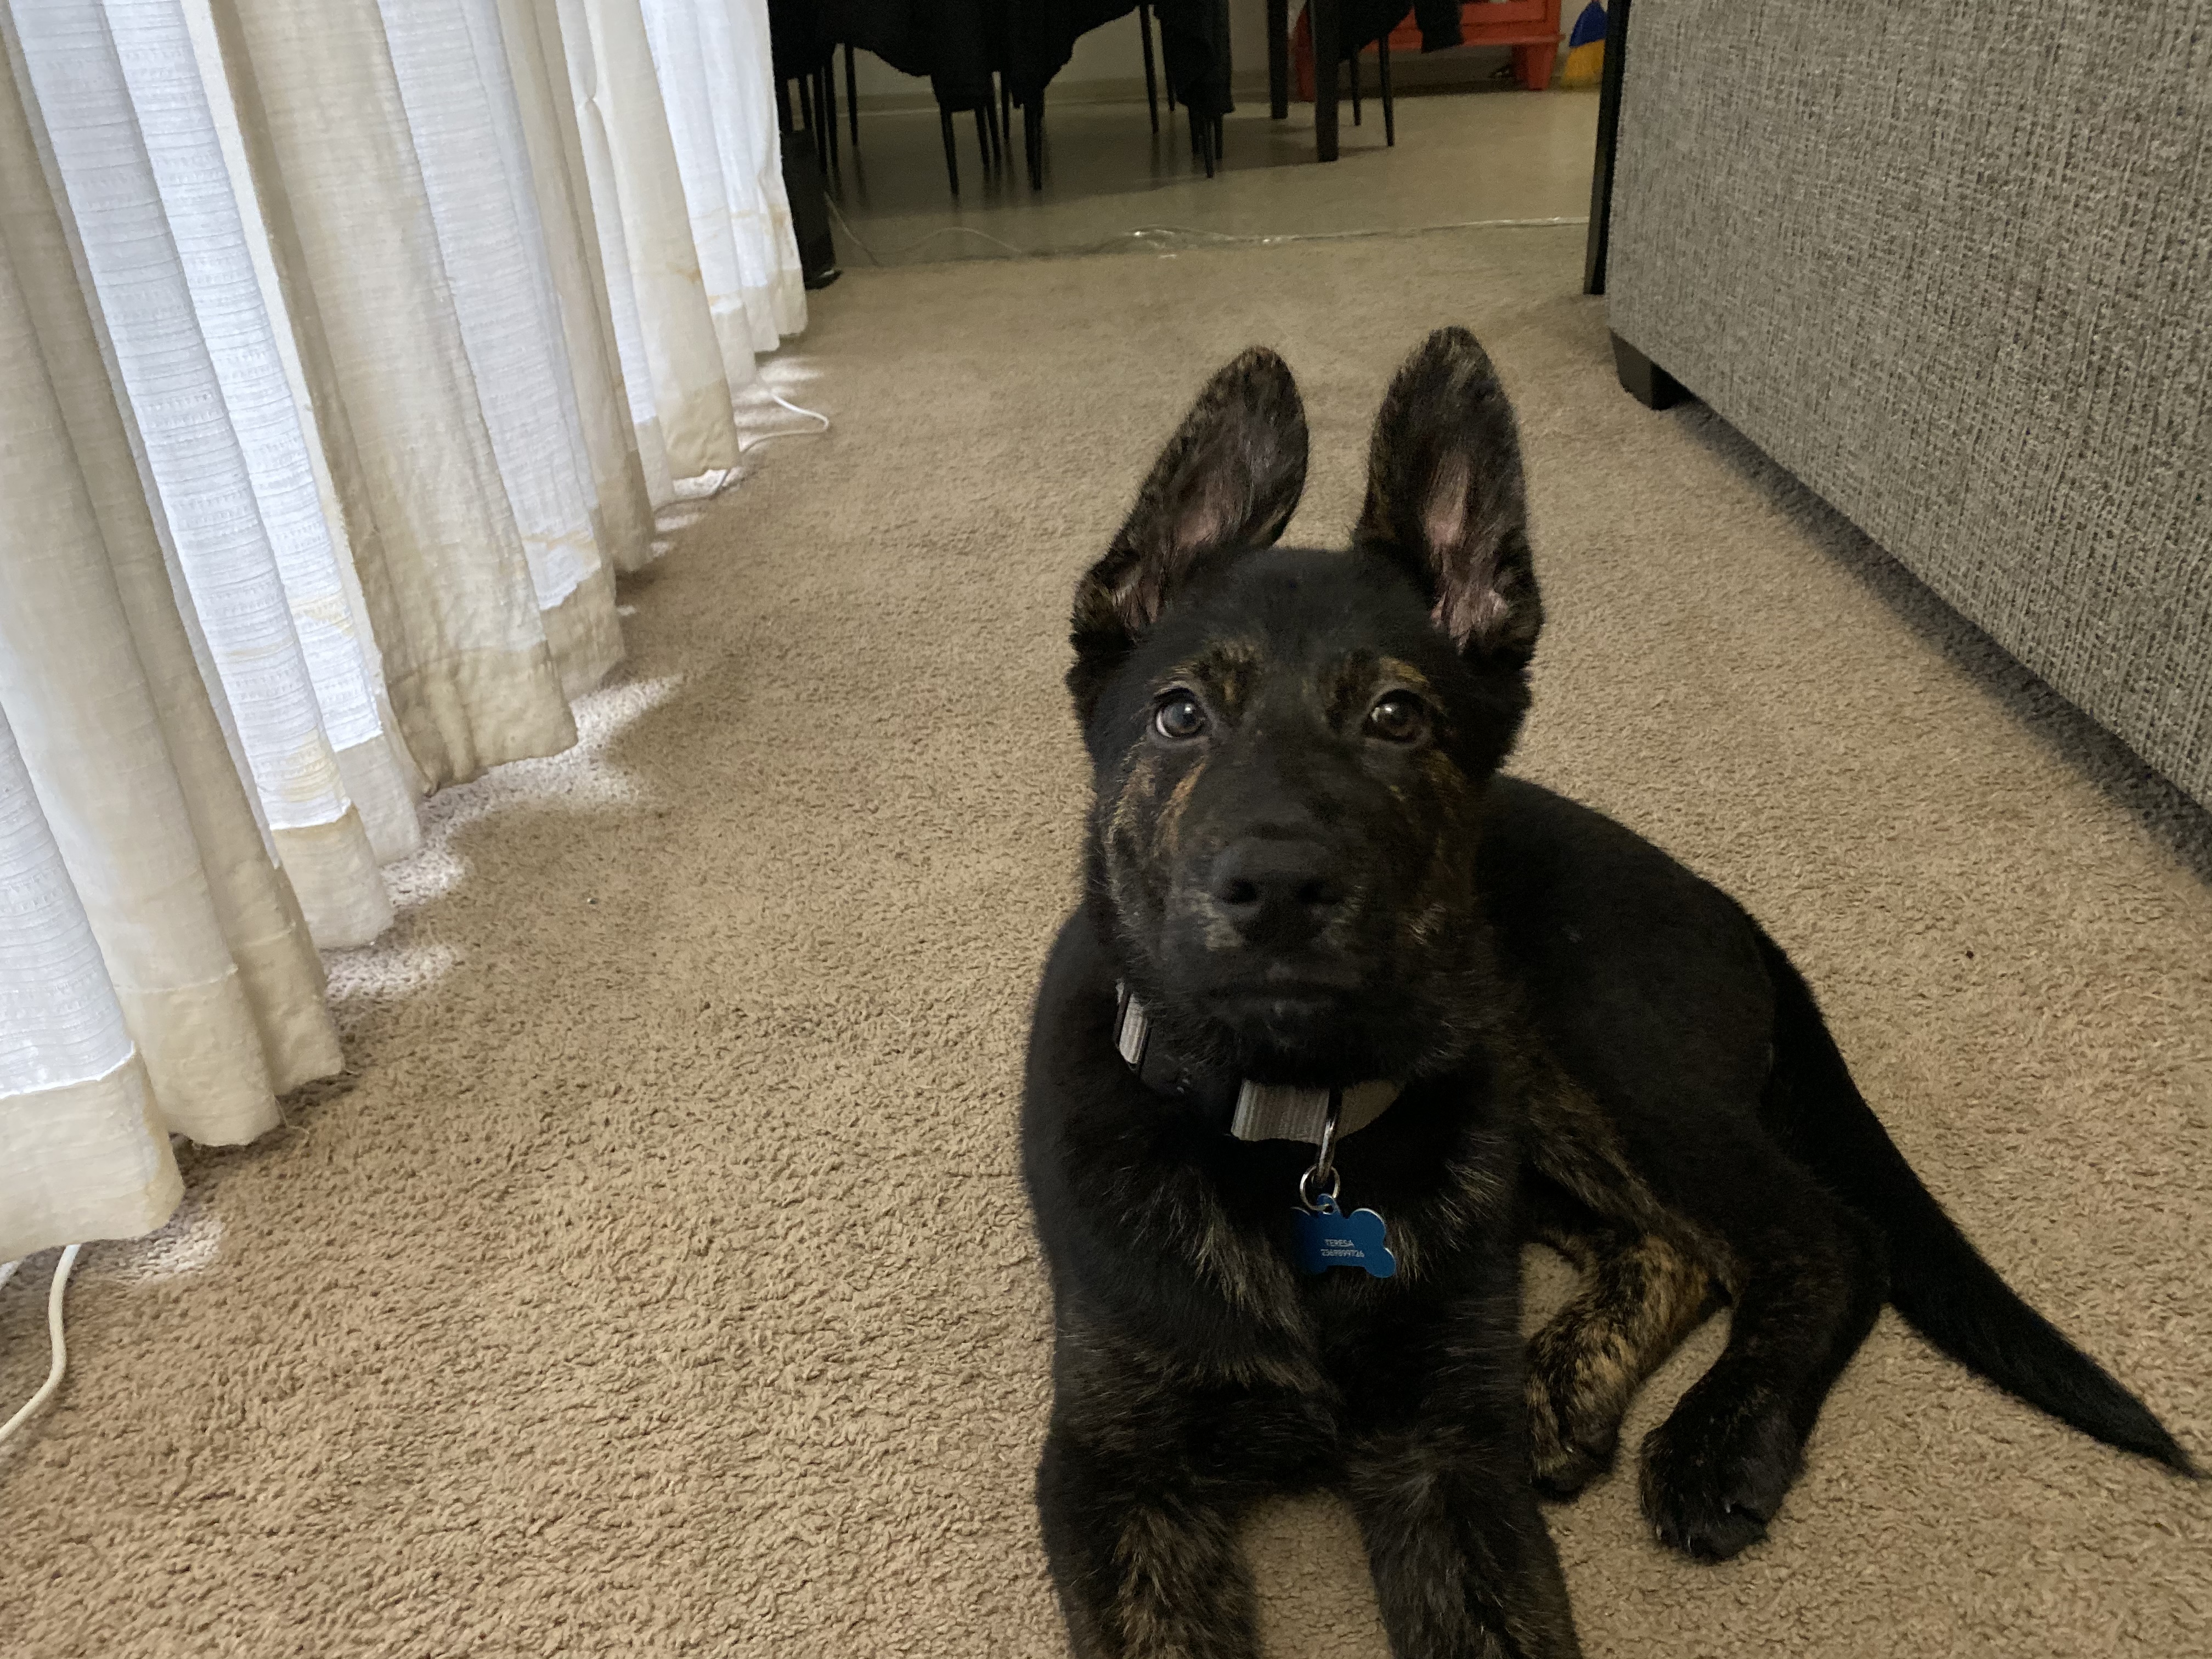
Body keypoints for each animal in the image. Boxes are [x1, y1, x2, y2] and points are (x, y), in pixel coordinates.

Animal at [1019, 330, 2194, 1659]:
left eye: (1396, 716)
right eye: (1178, 713)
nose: (1275, 886)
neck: (1286, 1129)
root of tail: (1723, 904)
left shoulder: (1445, 1458)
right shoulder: (1119, 1471)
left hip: (1592, 1054)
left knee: (1821, 1234)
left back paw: (1715, 1434)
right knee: (1674, 1243)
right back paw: (1561, 1383)